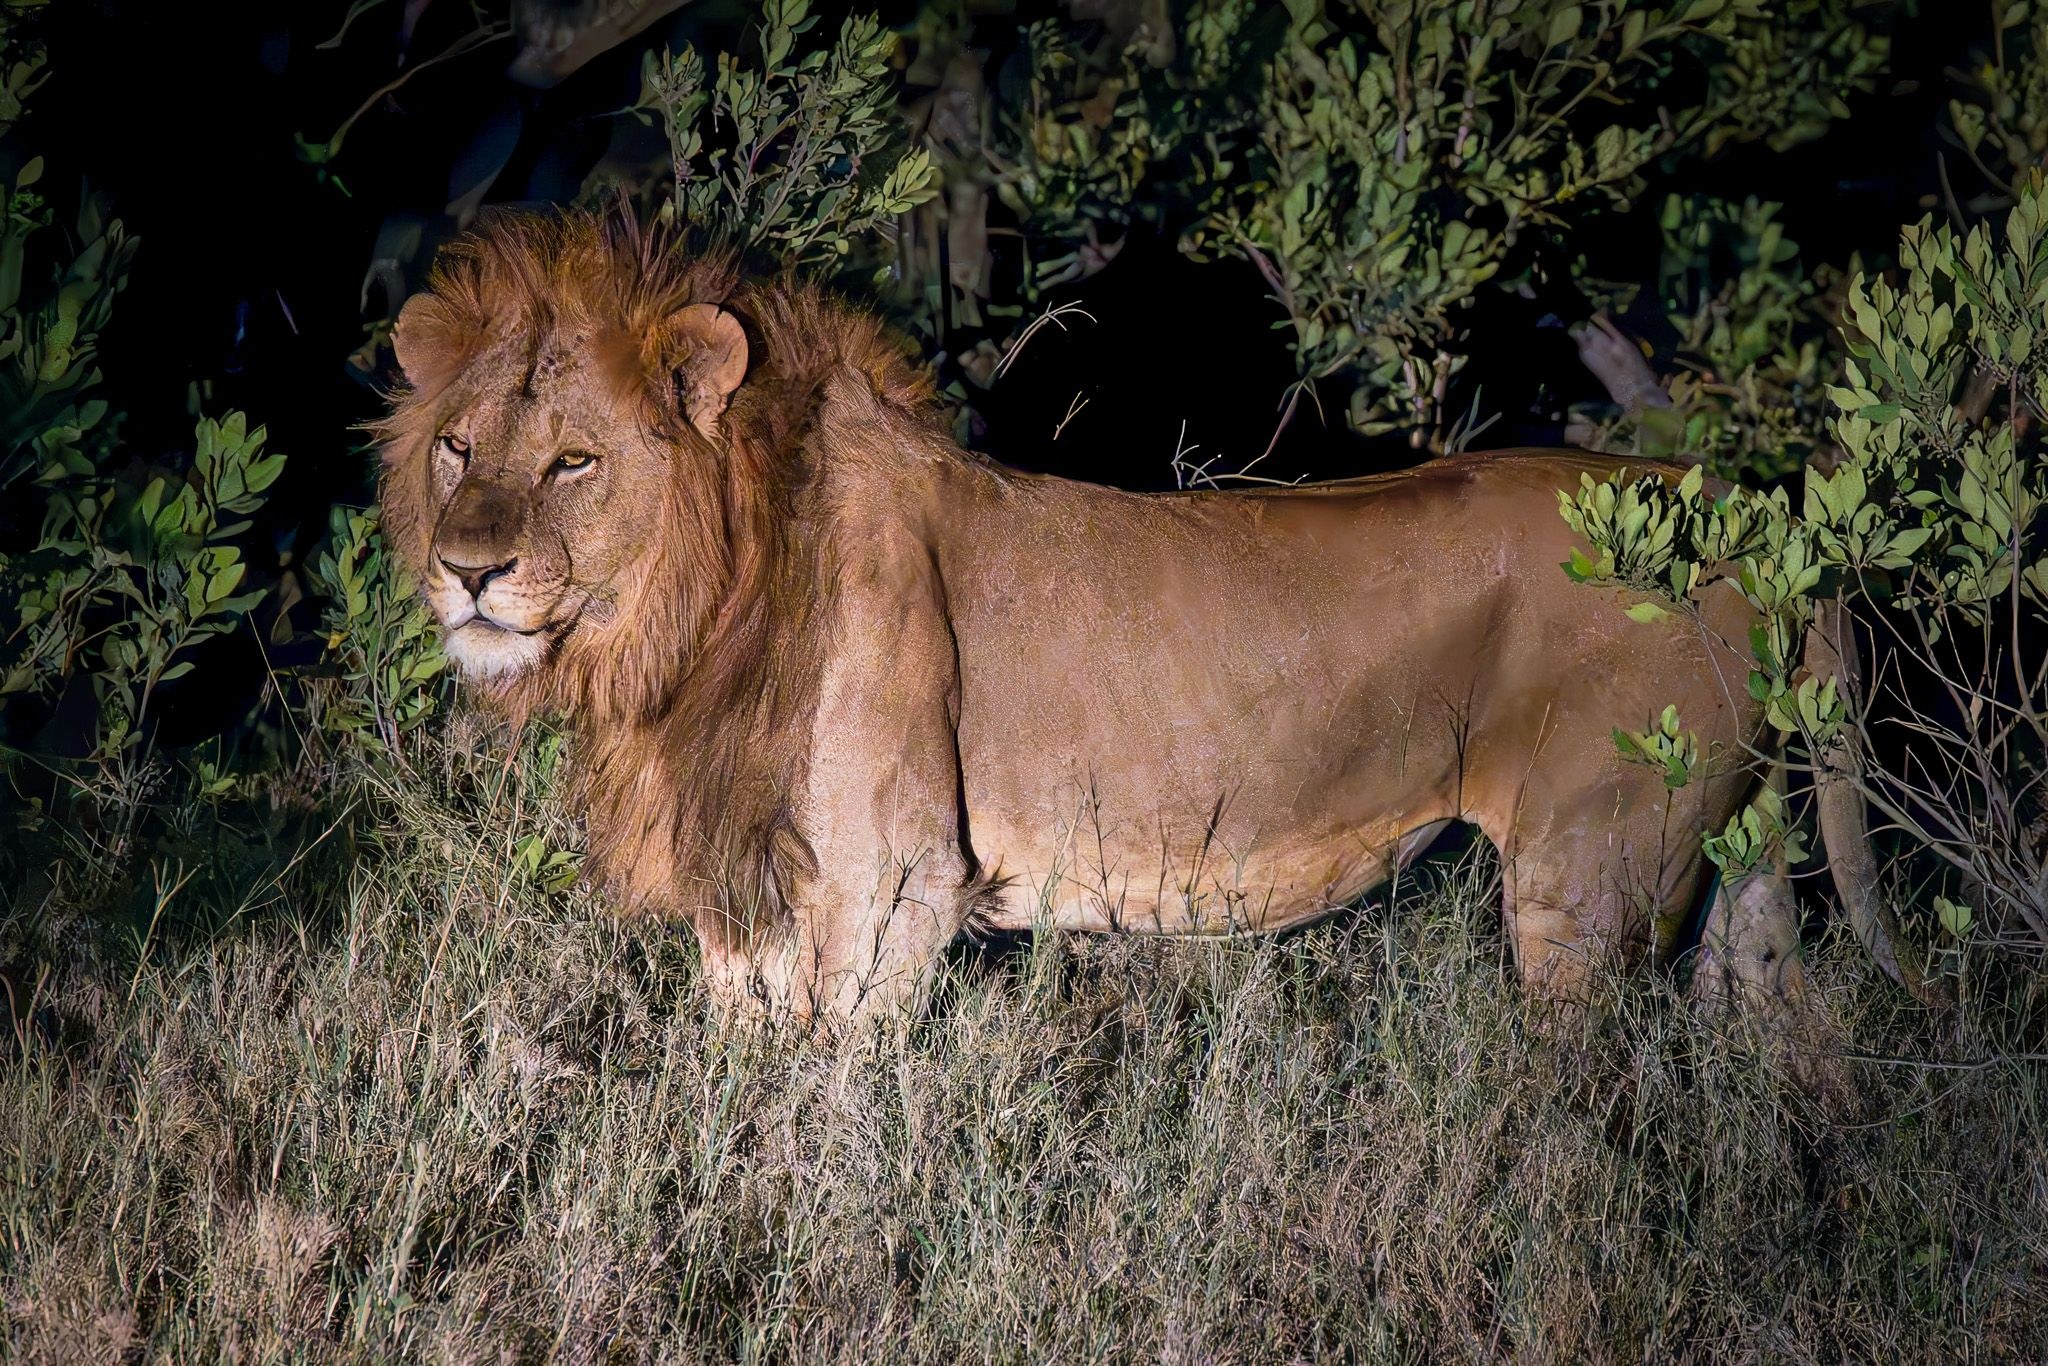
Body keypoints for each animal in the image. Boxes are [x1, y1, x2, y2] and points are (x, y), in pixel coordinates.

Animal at [378, 207, 1916, 1022]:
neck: (690, 627)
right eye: (459, 446)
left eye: (574, 462)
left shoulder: (893, 890)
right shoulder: (746, 897)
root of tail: (1758, 508)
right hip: (1743, 852)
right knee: (1788, 1039)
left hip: (1591, 881)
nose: (468, 569)